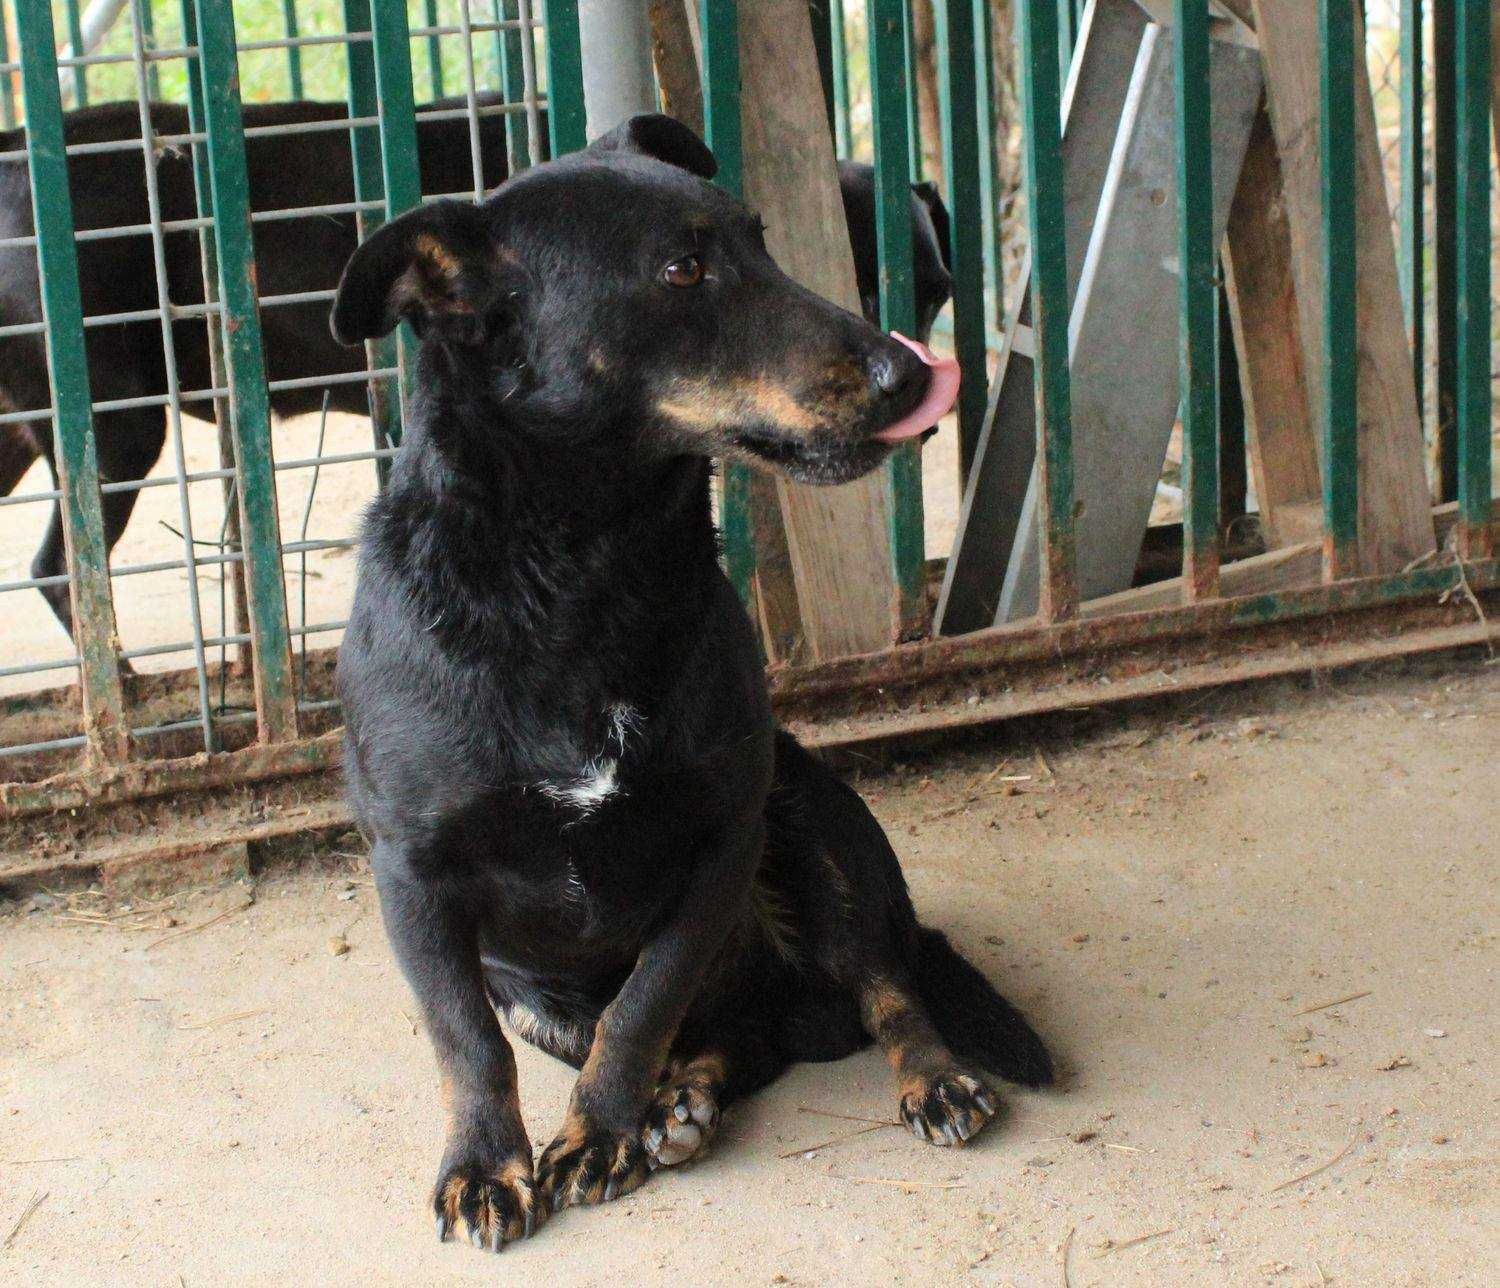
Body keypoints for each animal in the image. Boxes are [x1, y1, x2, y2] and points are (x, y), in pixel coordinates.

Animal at [333, 116, 1050, 1253]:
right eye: (681, 271)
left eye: (763, 242)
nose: (907, 373)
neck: (576, 571)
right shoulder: (413, 873)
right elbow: (467, 1040)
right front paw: (488, 1163)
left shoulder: (723, 834)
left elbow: (644, 1005)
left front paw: (599, 1131)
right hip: (548, 991)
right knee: (734, 1036)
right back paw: (684, 1103)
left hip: (818, 829)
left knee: (883, 988)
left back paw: (927, 1080)